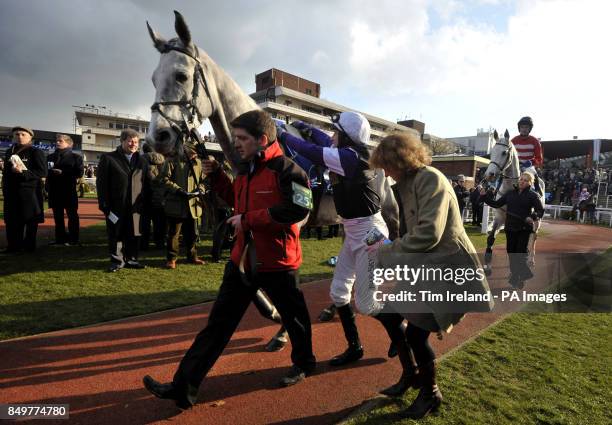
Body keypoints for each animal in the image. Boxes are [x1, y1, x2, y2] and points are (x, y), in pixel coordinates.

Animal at [482, 127, 544, 272]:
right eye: (492, 152)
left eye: (504, 152)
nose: (489, 175)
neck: (513, 188)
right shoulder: (500, 217)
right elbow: (491, 238)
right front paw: (487, 264)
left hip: (537, 220)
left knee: (534, 237)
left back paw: (531, 259)